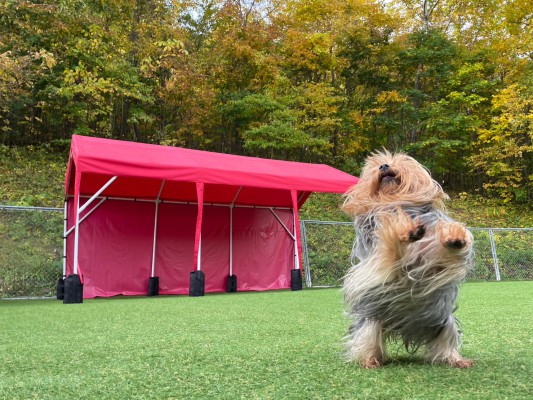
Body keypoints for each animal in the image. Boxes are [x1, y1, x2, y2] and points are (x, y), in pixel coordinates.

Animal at [338, 150, 472, 368]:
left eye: (401, 161)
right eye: (374, 164)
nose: (384, 165)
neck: (395, 202)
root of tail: (408, 328)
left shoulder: (434, 261)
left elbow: (442, 250)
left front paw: (455, 236)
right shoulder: (378, 260)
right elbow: (391, 246)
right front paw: (403, 229)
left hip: (444, 322)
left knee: (446, 341)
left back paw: (454, 359)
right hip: (372, 320)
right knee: (367, 338)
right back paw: (369, 359)